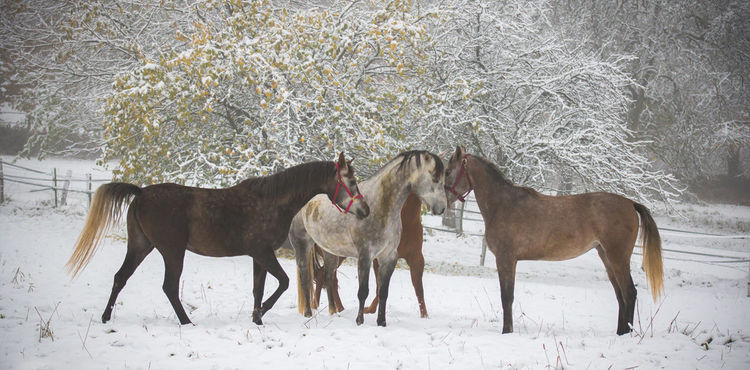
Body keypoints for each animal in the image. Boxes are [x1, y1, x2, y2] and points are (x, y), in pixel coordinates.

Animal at [67, 153, 370, 326]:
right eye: (352, 183)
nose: (365, 210)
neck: (270, 202)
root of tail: (140, 193)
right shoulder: (263, 252)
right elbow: (282, 283)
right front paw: (261, 313)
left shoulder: (258, 257)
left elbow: (258, 289)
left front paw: (257, 318)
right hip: (172, 251)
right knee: (169, 287)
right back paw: (186, 322)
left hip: (141, 246)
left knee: (121, 277)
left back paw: (106, 317)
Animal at [444, 147, 668, 336]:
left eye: (448, 171)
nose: (441, 204)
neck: (503, 205)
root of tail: (630, 203)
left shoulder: (506, 259)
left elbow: (507, 297)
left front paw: (506, 332)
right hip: (606, 257)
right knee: (621, 295)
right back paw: (621, 333)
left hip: (618, 257)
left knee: (629, 293)